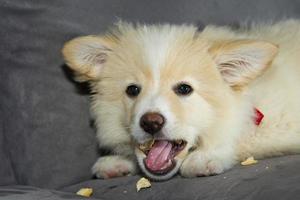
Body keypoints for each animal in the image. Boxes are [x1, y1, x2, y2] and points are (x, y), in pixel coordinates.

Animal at [62, 19, 300, 180]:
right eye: (132, 90)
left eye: (184, 89)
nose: (151, 122)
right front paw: (117, 162)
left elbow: (242, 140)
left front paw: (204, 158)